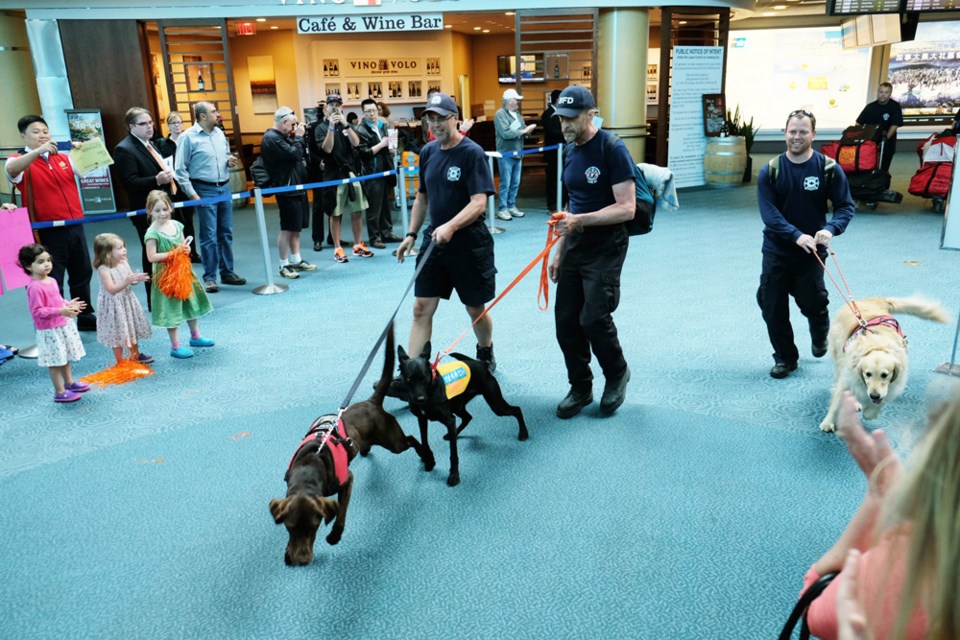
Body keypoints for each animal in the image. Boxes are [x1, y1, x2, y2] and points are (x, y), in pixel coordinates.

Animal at [400, 342, 528, 488]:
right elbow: (425, 442)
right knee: (468, 417)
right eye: (409, 379)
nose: (420, 399)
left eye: (425, 378)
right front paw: (429, 461)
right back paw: (453, 434)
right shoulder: (422, 419)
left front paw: (454, 475)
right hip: (458, 406)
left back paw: (523, 433)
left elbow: (453, 454)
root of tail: (480, 364)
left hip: (496, 404)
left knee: (517, 409)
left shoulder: (449, 420)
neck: (430, 390)